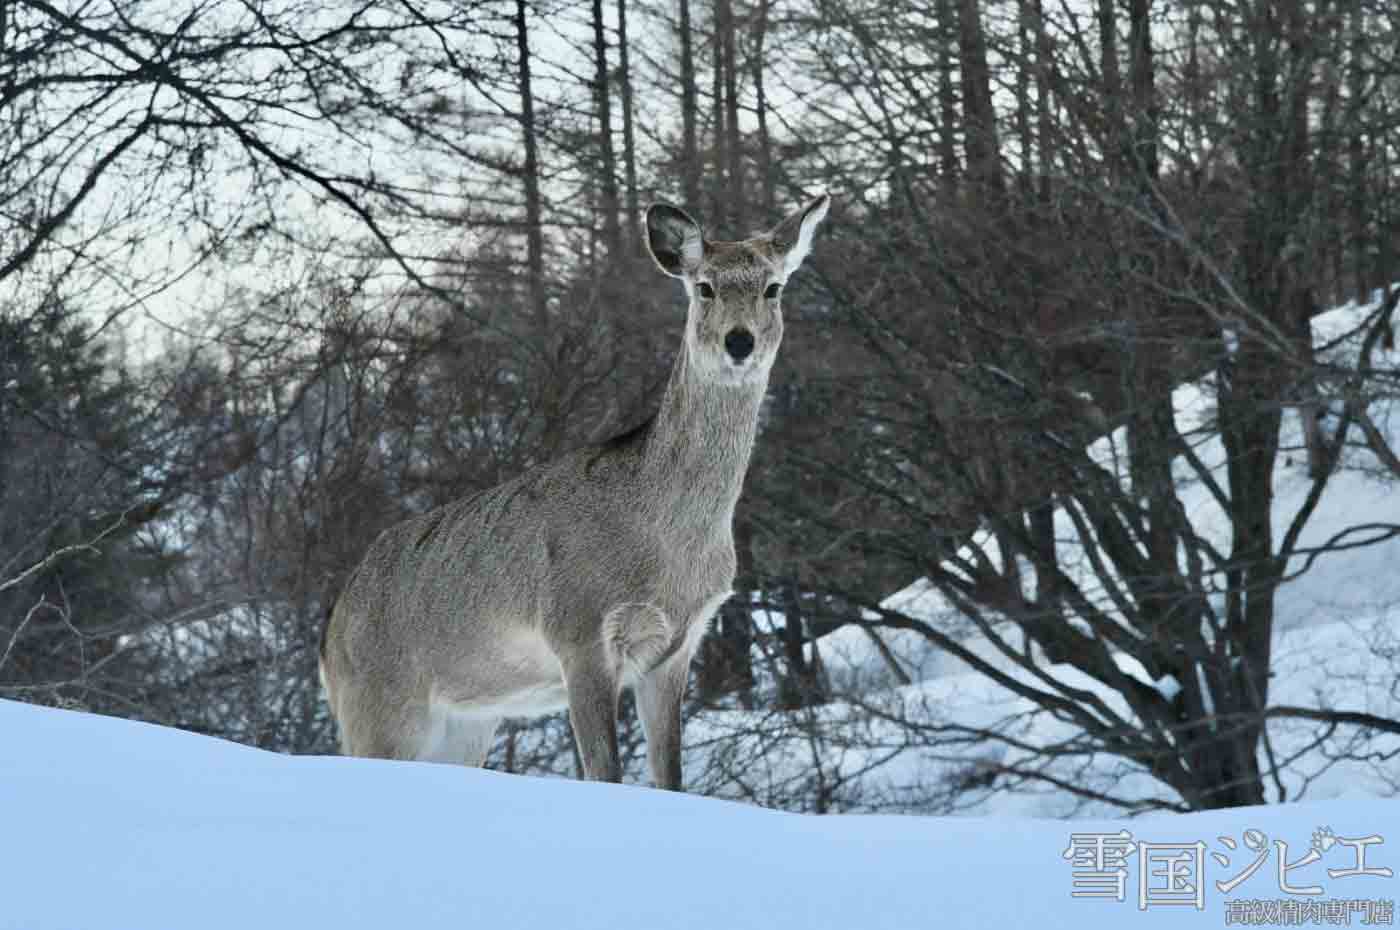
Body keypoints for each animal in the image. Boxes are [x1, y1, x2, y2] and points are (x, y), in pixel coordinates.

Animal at [317, 191, 828, 789]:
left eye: (773, 287)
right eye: (705, 286)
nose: (739, 340)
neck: (671, 538)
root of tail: (330, 636)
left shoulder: (675, 649)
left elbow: (670, 776)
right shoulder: (579, 628)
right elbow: (604, 773)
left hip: (466, 722)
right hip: (377, 704)